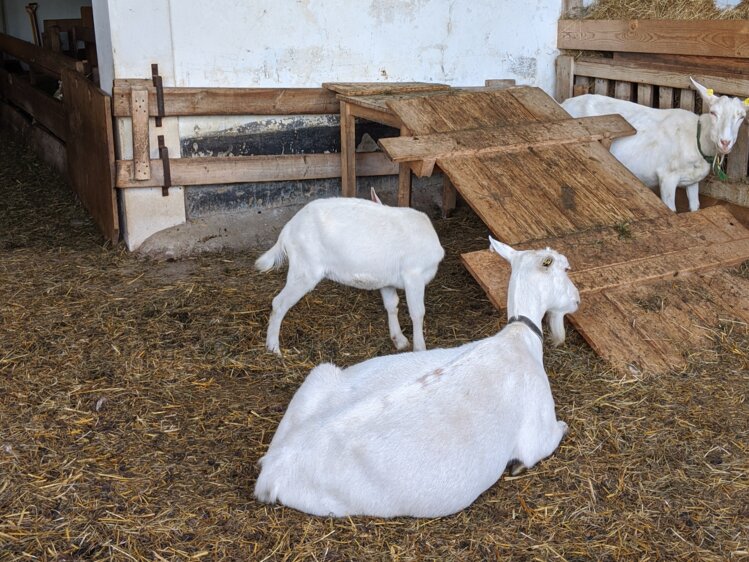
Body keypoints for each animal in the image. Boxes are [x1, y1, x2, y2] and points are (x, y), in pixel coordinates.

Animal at [253, 236, 580, 516]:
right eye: (565, 268)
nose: (577, 299)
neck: (520, 336)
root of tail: (272, 469)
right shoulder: (537, 436)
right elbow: (555, 433)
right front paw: (519, 465)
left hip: (319, 376)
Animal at [256, 195, 444, 352]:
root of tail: (288, 229)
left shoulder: (387, 280)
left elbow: (392, 305)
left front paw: (399, 340)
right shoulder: (414, 275)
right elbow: (417, 312)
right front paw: (420, 349)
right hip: (304, 269)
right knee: (279, 303)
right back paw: (273, 348)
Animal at [560, 77, 748, 211]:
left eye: (742, 117)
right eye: (713, 113)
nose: (725, 142)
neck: (696, 139)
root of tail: (564, 103)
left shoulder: (693, 181)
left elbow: (695, 207)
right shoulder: (667, 177)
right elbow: (671, 209)